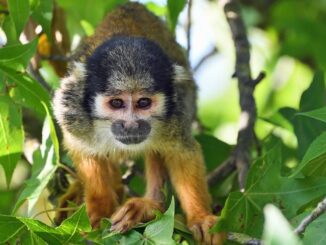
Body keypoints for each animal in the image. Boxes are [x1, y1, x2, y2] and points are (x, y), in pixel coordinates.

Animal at [52, 2, 224, 245]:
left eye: (143, 103)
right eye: (116, 103)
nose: (131, 125)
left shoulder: (177, 112)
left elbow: (182, 152)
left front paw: (201, 217)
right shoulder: (72, 110)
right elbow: (82, 148)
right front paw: (99, 209)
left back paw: (150, 207)